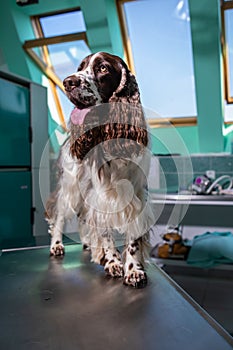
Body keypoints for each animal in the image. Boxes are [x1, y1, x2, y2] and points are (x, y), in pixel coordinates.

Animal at [45, 52, 155, 288]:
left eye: (103, 68)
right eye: (80, 67)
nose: (68, 82)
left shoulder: (137, 194)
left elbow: (133, 239)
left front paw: (133, 269)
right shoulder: (100, 195)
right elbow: (105, 232)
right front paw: (113, 262)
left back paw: (88, 243)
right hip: (70, 185)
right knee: (59, 216)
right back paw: (57, 245)